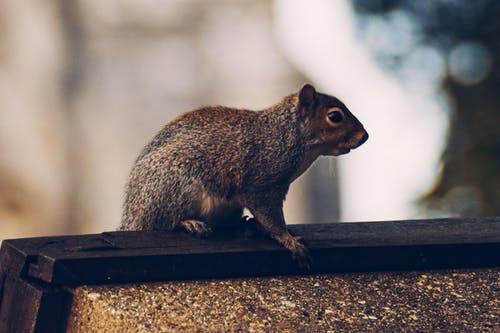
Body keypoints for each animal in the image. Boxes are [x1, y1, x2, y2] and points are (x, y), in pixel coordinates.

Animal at [118, 83, 368, 268]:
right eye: (335, 116)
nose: (365, 136)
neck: (284, 135)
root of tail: (131, 217)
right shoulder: (261, 185)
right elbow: (271, 218)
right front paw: (289, 241)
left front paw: (268, 228)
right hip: (172, 186)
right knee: (161, 222)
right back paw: (189, 223)